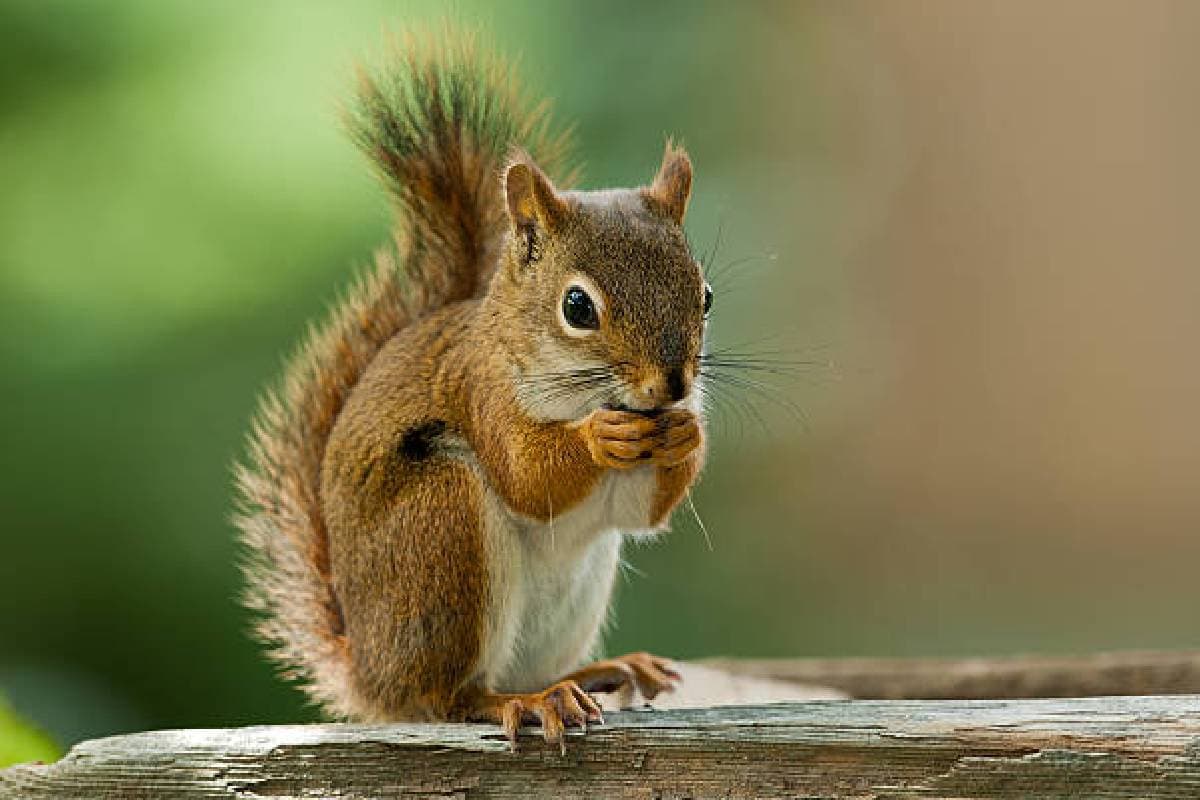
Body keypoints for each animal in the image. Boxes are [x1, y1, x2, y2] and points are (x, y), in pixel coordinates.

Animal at [235, 30, 710, 750]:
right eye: (577, 307)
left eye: (706, 296)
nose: (674, 382)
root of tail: (371, 677)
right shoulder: (481, 392)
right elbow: (526, 475)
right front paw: (598, 437)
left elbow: (640, 513)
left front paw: (687, 431)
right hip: (442, 528)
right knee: (451, 697)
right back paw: (526, 702)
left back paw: (600, 672)